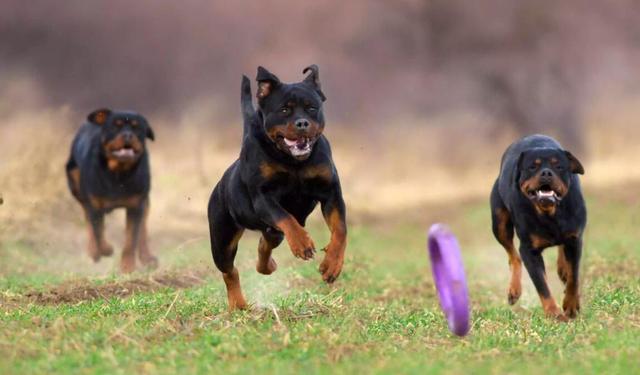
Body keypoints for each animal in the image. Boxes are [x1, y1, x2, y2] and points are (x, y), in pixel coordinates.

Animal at [65, 108, 158, 274]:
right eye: (116, 126)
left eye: (137, 128)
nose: (128, 135)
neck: (118, 174)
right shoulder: (94, 206)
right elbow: (98, 231)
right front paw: (105, 250)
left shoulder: (136, 206)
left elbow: (131, 239)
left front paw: (127, 267)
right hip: (76, 184)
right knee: (89, 221)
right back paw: (93, 251)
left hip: (145, 201)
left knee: (143, 230)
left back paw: (147, 257)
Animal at [209, 65, 350, 312]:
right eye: (284, 110)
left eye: (312, 108)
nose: (302, 123)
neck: (293, 161)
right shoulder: (262, 197)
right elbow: (286, 217)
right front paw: (303, 243)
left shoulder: (331, 194)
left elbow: (340, 230)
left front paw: (332, 264)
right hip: (221, 240)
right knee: (229, 270)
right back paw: (238, 304)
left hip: (270, 233)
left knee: (264, 245)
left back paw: (268, 266)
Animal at [492, 134, 588, 320]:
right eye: (532, 167)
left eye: (558, 166)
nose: (546, 172)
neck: (550, 214)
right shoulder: (529, 250)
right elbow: (542, 285)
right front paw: (554, 313)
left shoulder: (575, 239)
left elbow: (574, 276)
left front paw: (571, 305)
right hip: (499, 224)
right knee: (513, 255)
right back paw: (514, 290)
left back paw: (562, 269)